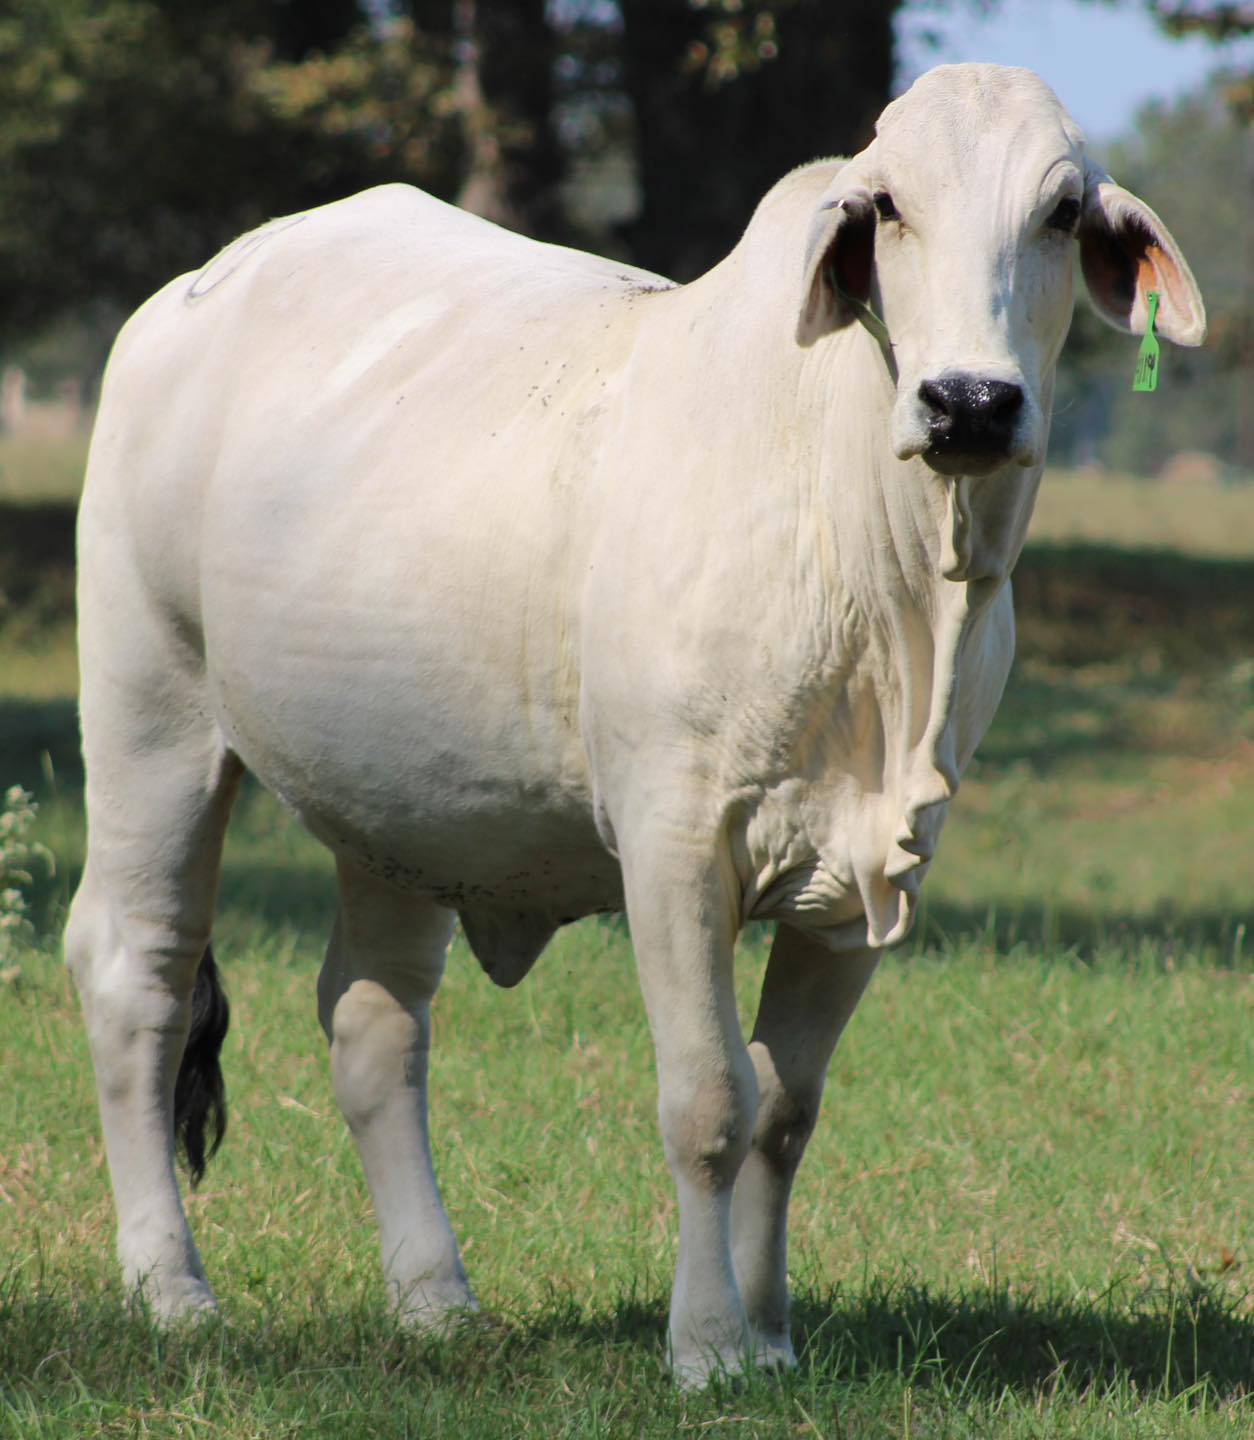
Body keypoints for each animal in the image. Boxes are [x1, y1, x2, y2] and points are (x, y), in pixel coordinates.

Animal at [68, 64, 1203, 1382]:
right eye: (888, 206)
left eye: (1063, 212)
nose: (969, 401)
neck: (890, 585)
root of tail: (196, 291)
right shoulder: (674, 844)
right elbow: (709, 1102)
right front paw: (706, 1345)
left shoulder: (877, 870)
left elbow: (784, 1112)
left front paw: (771, 1337)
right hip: (151, 712)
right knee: (138, 977)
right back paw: (170, 1288)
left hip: (395, 807)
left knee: (372, 1023)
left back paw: (434, 1298)